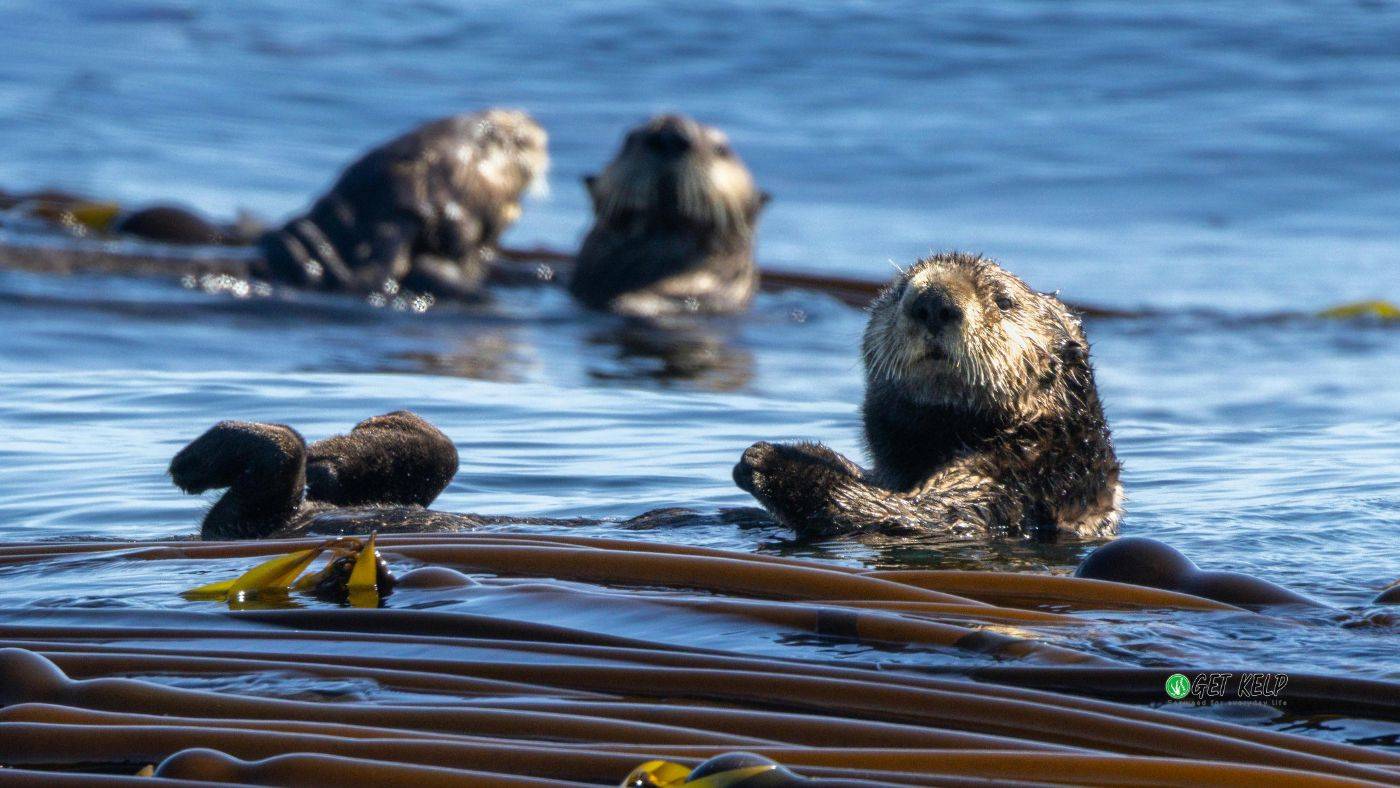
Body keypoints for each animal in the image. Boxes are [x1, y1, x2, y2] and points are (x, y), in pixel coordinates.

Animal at [732, 252, 1121, 539]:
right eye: (899, 291)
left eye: (1004, 300)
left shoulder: (1011, 486)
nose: (933, 302)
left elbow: (913, 515)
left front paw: (767, 460)